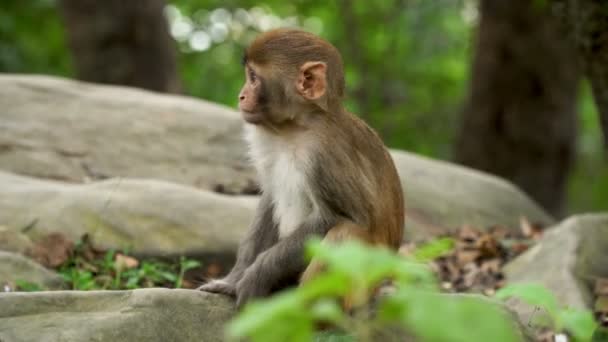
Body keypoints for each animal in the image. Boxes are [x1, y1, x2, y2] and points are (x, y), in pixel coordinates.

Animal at [197, 28, 404, 308]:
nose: (241, 95)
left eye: (253, 77)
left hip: (364, 283)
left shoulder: (326, 154)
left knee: (346, 232)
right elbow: (270, 200)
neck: (295, 129)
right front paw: (234, 278)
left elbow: (344, 216)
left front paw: (256, 274)